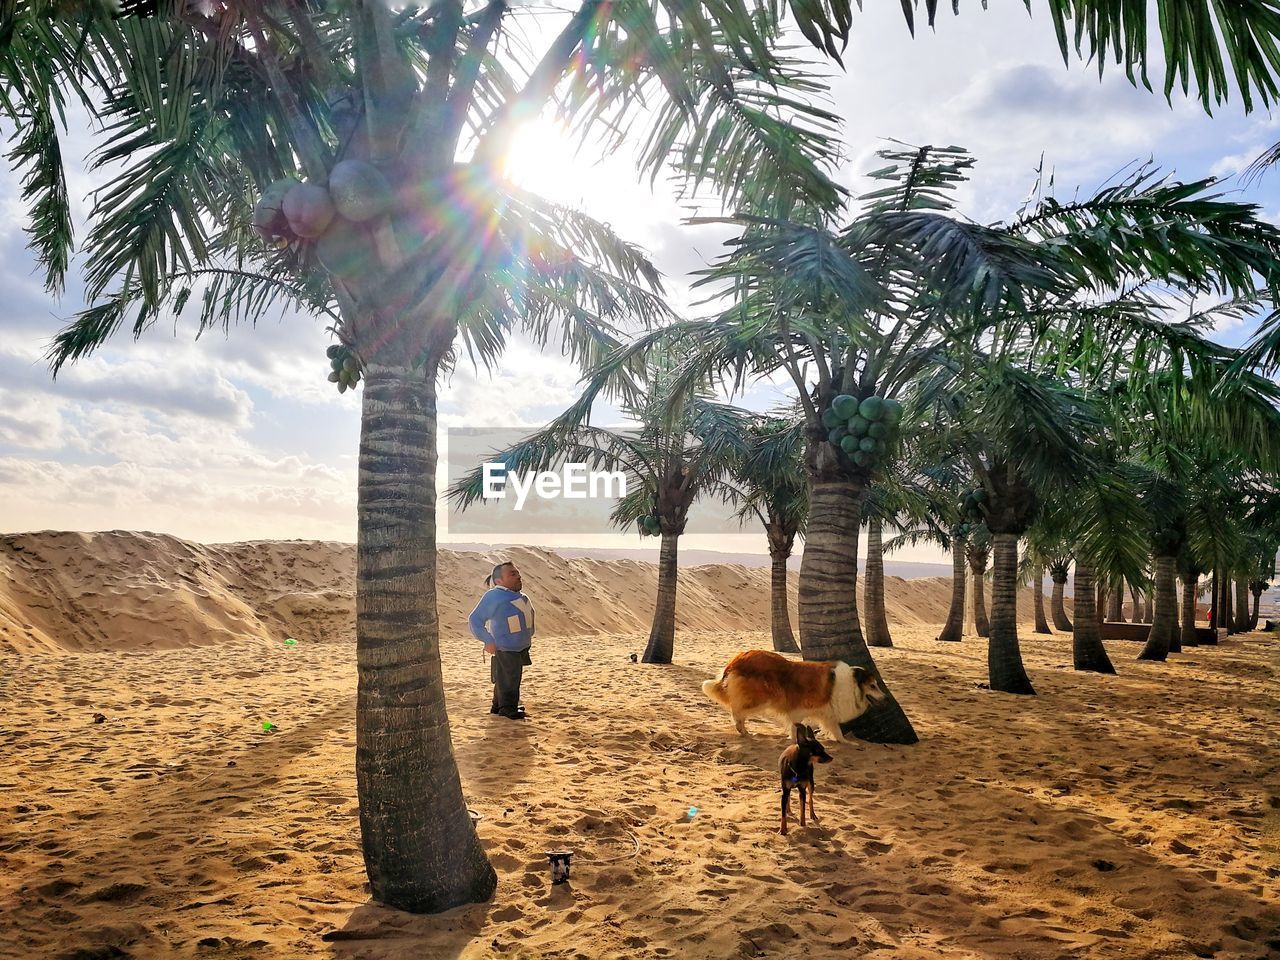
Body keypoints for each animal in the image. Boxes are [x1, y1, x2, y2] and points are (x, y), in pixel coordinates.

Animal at [701, 650, 890, 742]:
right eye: (873, 686)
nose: (886, 698)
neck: (851, 684)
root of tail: (736, 660)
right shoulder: (799, 709)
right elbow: (796, 725)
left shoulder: (827, 714)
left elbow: (837, 732)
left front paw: (847, 743)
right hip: (761, 698)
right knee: (737, 711)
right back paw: (744, 731)